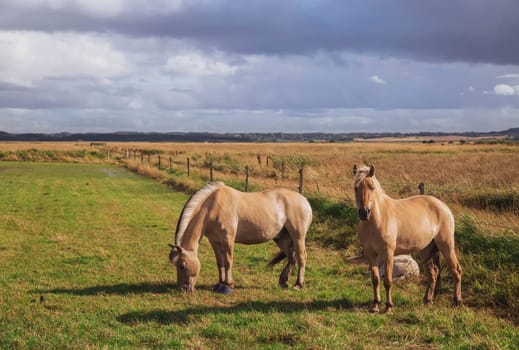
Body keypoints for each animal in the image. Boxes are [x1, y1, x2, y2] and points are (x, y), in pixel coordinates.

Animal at [169, 182, 312, 294]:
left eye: (181, 266)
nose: (183, 289)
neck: (212, 207)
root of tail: (305, 201)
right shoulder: (214, 241)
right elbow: (220, 262)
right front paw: (220, 284)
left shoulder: (228, 239)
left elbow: (228, 261)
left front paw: (228, 285)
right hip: (282, 238)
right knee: (291, 257)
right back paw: (283, 281)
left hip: (298, 236)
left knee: (301, 257)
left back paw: (298, 284)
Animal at [354, 165, 464, 314]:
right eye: (356, 187)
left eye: (372, 187)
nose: (364, 212)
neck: (377, 219)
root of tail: (443, 206)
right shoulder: (370, 254)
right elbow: (375, 280)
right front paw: (375, 306)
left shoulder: (388, 253)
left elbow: (387, 281)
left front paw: (389, 307)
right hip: (426, 250)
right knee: (433, 273)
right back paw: (428, 300)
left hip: (446, 245)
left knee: (456, 270)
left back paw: (457, 301)